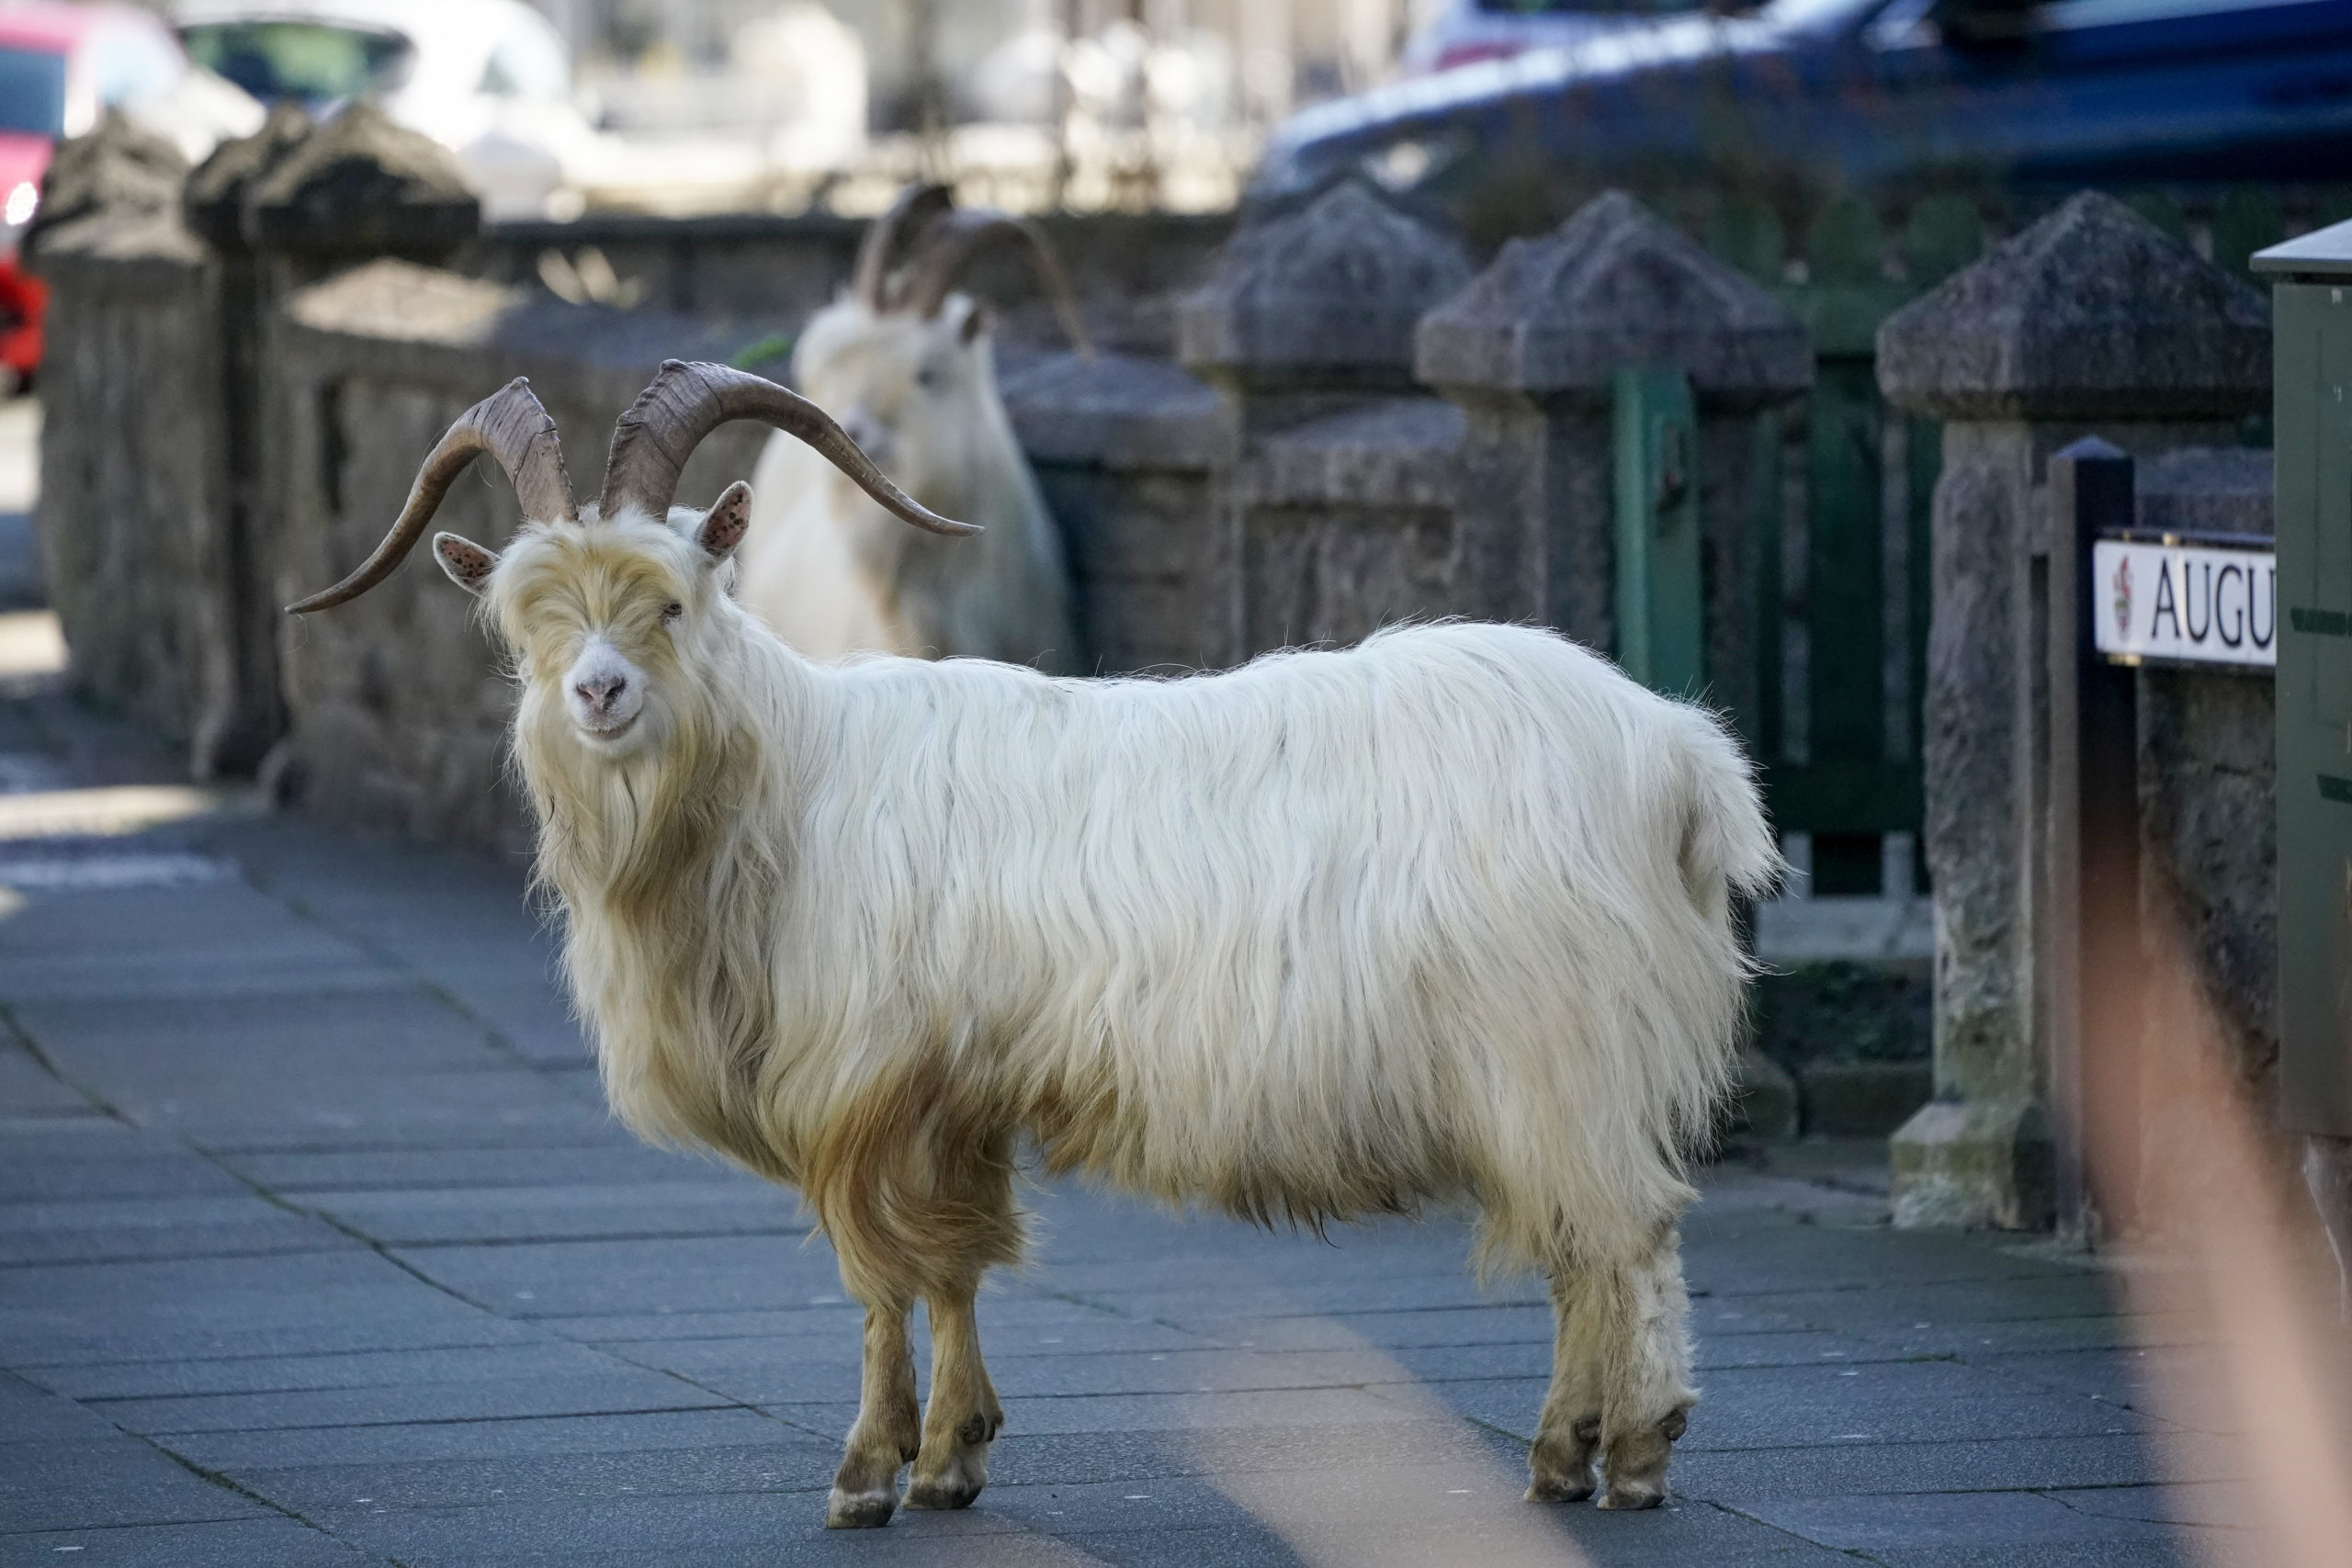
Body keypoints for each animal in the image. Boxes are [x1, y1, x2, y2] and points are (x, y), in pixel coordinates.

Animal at [287, 364, 1781, 1529]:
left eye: (673, 599)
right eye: (527, 614)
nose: (597, 693)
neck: (785, 781)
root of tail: (1679, 756)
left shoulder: (860, 1082)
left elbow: (879, 1277)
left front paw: (866, 1471)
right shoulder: (947, 1093)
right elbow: (954, 1263)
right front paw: (955, 1455)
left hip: (1561, 1040)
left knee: (1626, 1233)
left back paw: (1632, 1450)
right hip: (1557, 1063)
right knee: (1585, 1243)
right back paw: (1566, 1450)